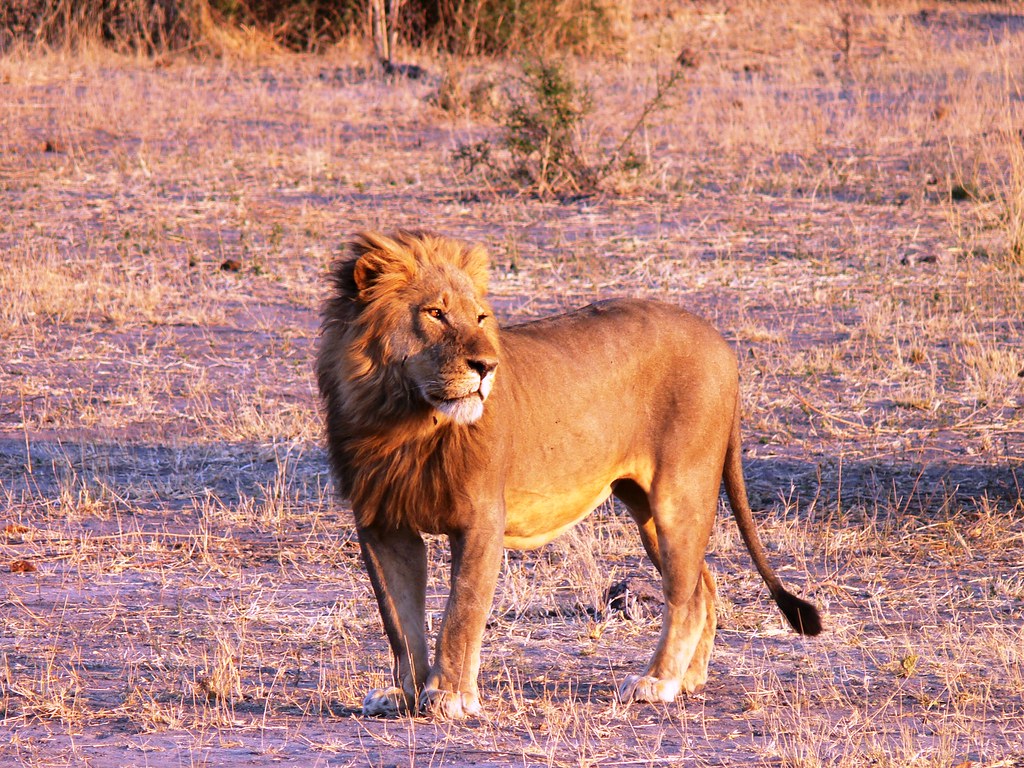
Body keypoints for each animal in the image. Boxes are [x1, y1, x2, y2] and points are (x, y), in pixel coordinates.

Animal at [316, 230, 822, 719]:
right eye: (435, 313)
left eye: (479, 318)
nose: (487, 367)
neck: (402, 418)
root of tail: (719, 340)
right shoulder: (381, 524)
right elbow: (399, 621)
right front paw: (405, 695)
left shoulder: (482, 518)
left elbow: (462, 611)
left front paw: (450, 697)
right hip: (644, 506)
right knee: (703, 585)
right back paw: (687, 680)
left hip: (679, 493)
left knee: (684, 593)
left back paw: (657, 682)